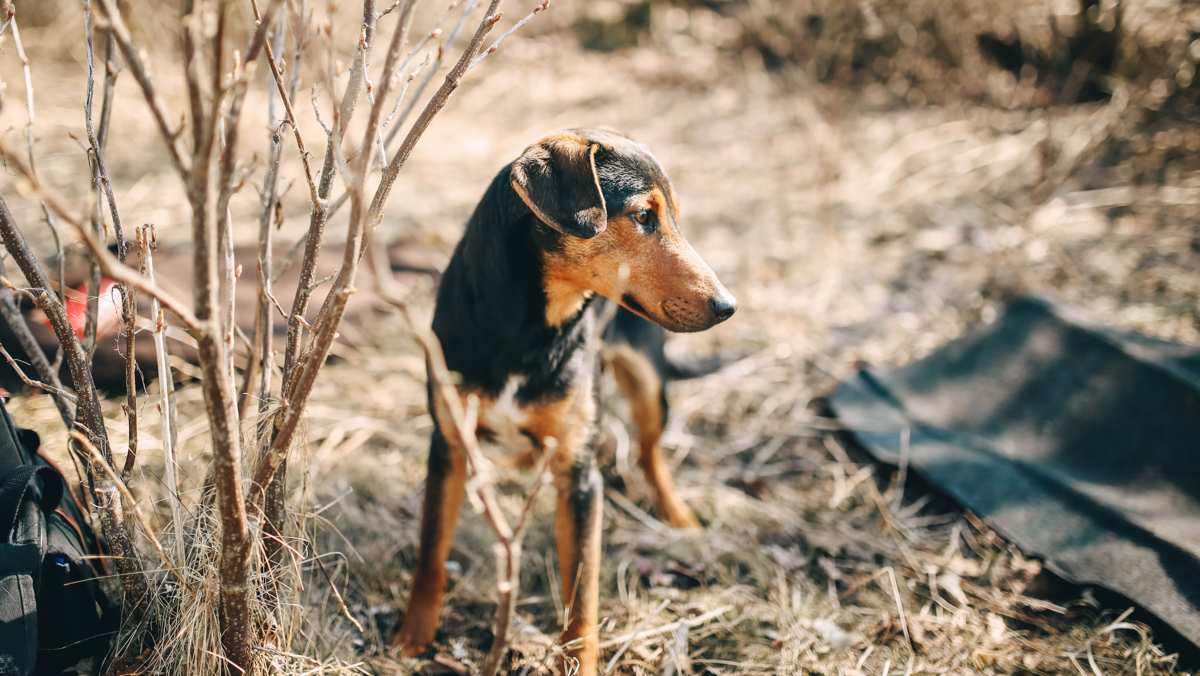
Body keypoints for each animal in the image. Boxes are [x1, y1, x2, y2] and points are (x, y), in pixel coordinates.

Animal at [393, 127, 734, 672]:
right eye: (644, 216)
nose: (728, 306)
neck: (529, 327)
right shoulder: (448, 443)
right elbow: (431, 551)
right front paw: (413, 637)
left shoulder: (579, 473)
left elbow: (583, 592)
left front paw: (580, 661)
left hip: (647, 380)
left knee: (649, 450)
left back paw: (678, 515)